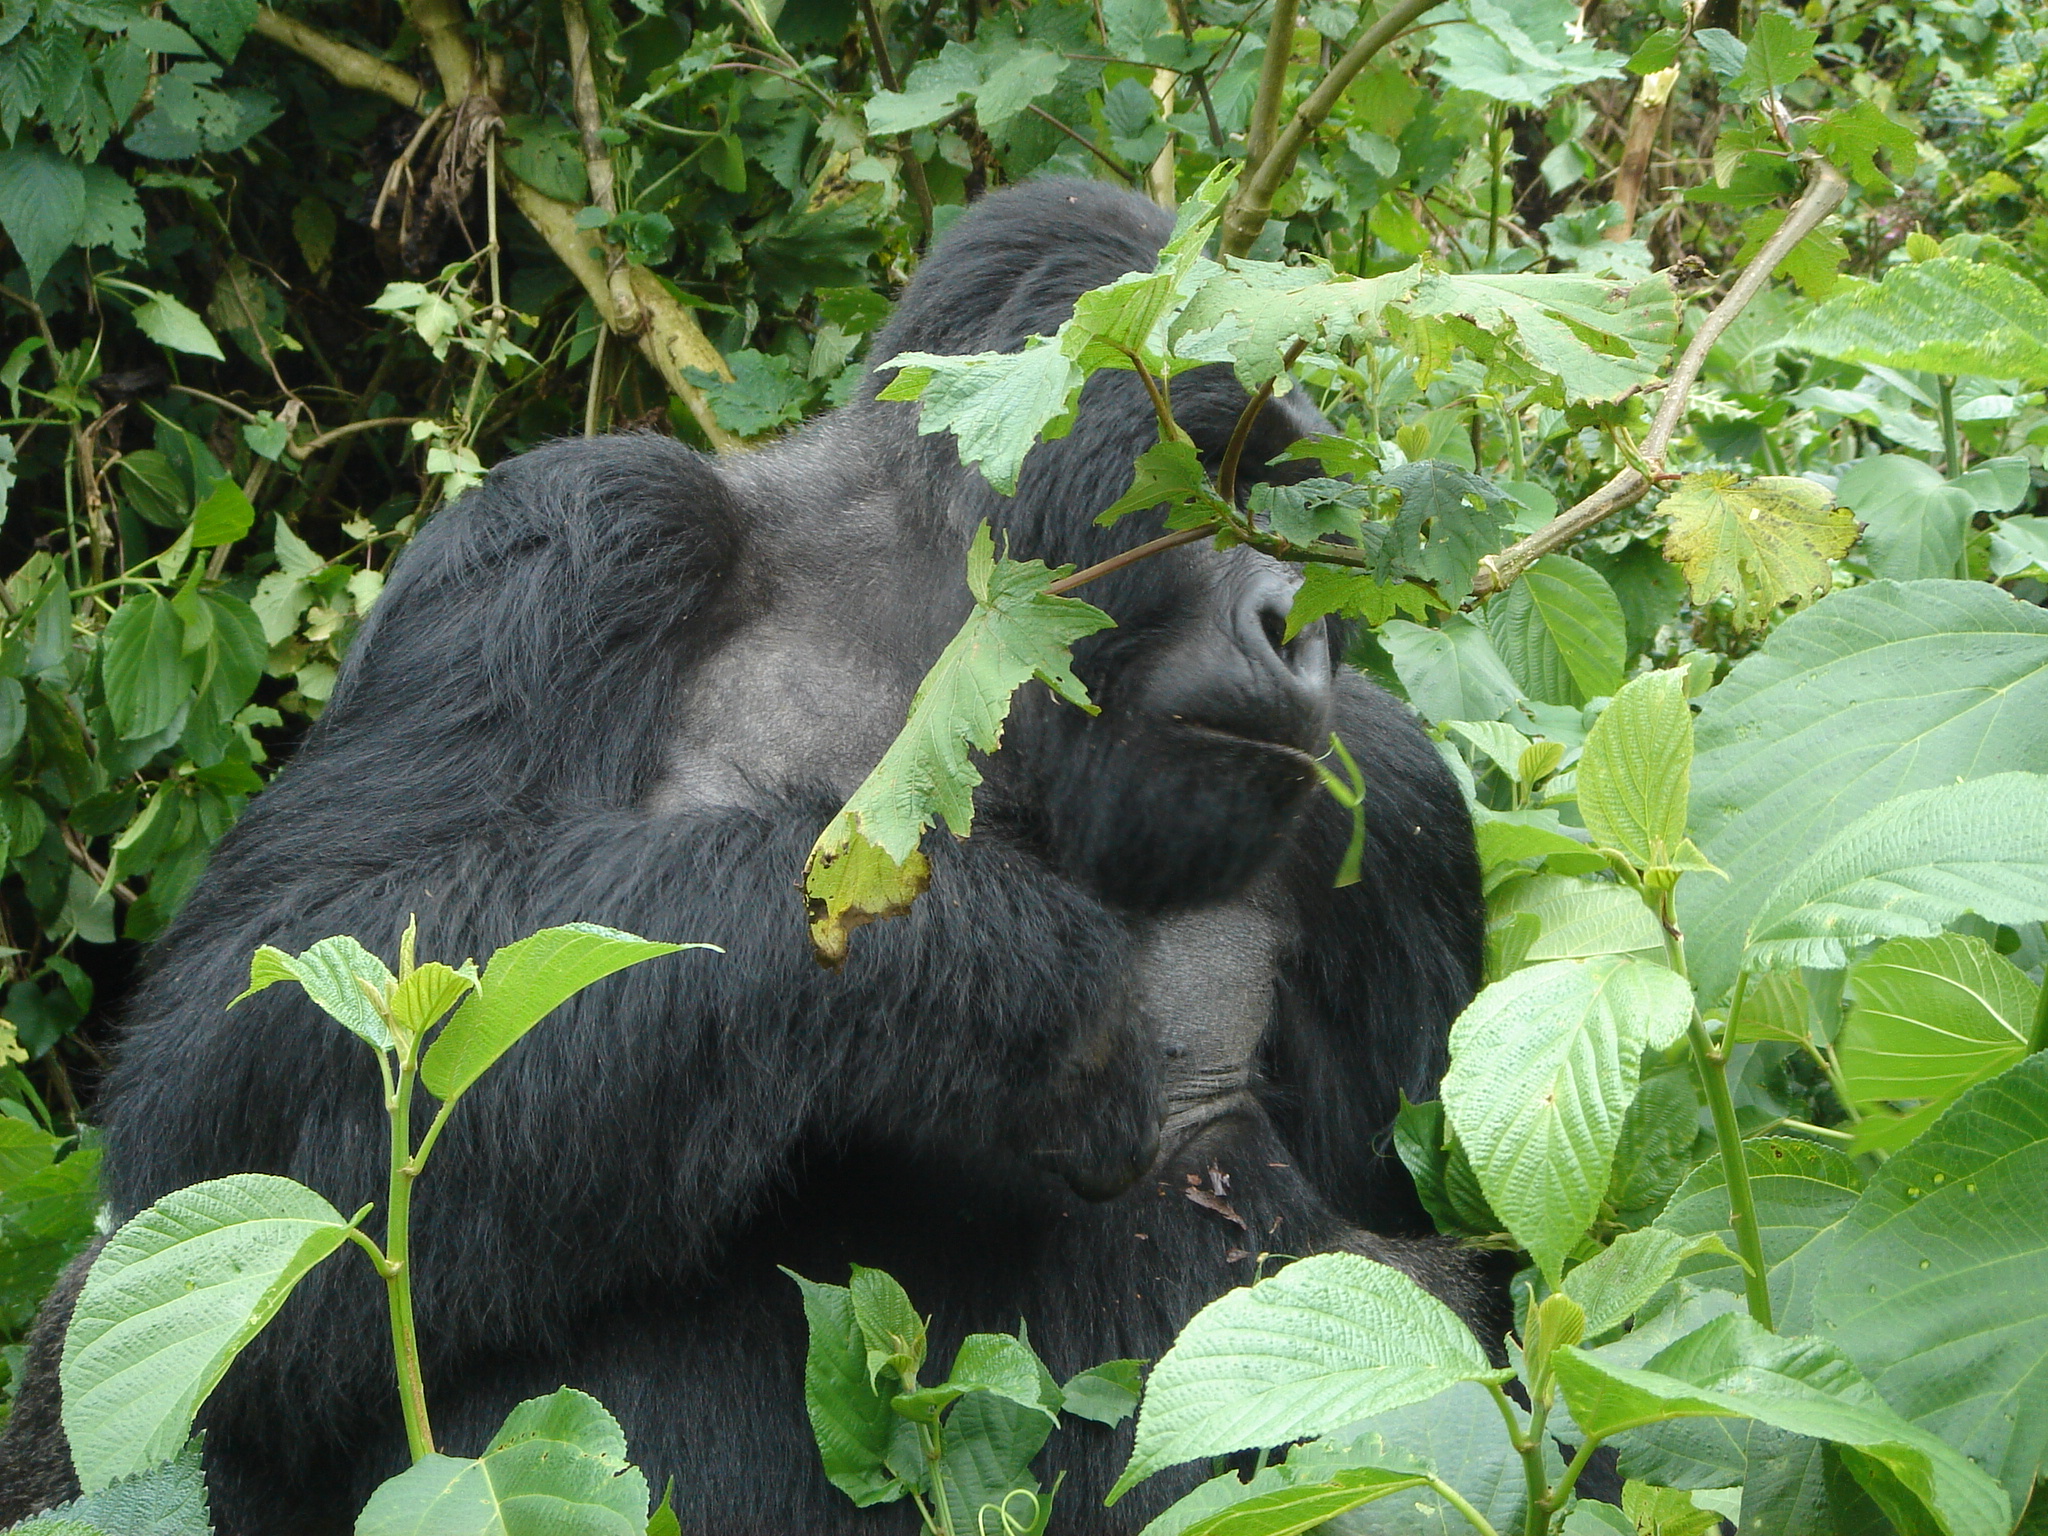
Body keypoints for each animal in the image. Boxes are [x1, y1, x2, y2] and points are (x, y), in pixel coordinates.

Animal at [0, 177, 1507, 1531]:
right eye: (1213, 468)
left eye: (1297, 503)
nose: (1295, 623)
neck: (936, 634)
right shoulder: (581, 528)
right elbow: (259, 1072)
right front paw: (987, 970)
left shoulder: (1394, 801)